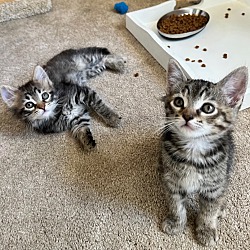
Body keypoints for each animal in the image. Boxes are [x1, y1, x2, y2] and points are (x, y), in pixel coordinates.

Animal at [159, 59, 247, 246]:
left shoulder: (214, 187)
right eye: (179, 102)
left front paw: (206, 229)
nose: (187, 116)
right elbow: (175, 204)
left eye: (208, 108)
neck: (194, 149)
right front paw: (176, 222)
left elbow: (209, 210)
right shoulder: (173, 182)